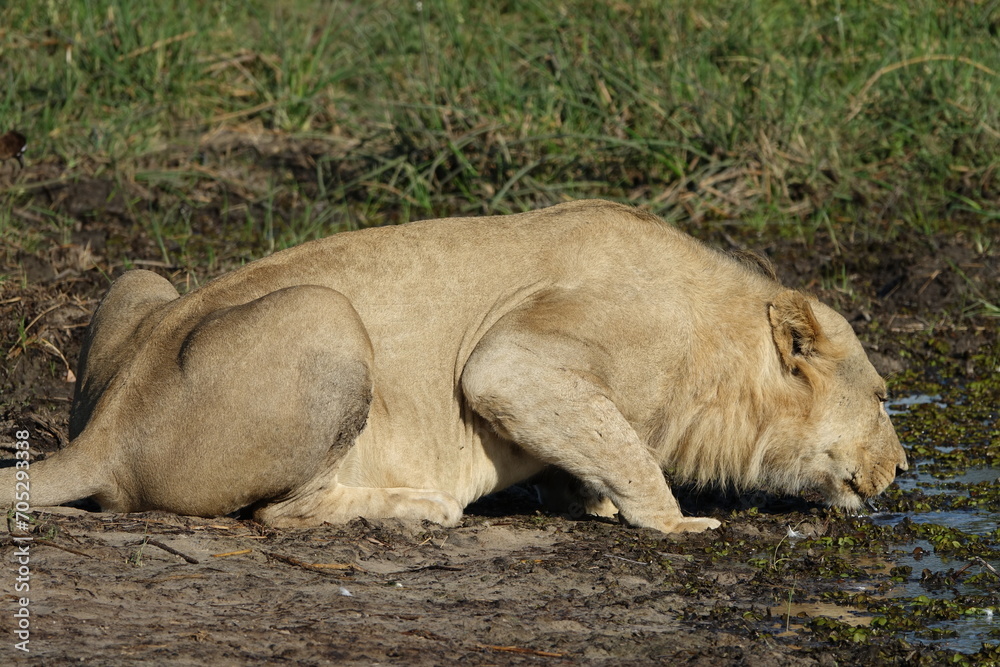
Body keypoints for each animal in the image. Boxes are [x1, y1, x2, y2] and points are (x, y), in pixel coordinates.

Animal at [1, 200, 907, 534]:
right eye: (882, 395)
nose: (902, 468)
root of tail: (106, 428)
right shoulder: (511, 362)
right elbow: (626, 449)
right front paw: (675, 521)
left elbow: (602, 447)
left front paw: (595, 500)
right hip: (327, 318)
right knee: (279, 513)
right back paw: (423, 506)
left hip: (139, 281)